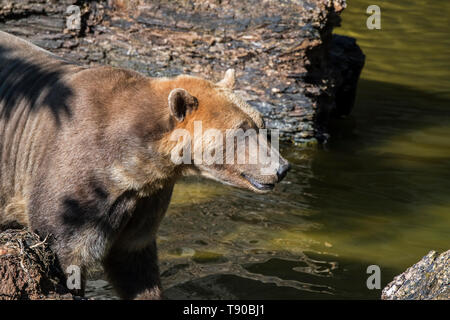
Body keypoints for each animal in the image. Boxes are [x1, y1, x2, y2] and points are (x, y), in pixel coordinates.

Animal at [0, 31, 290, 298]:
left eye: (260, 124)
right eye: (240, 131)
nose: (282, 168)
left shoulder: (144, 201)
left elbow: (135, 265)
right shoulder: (77, 189)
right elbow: (64, 251)